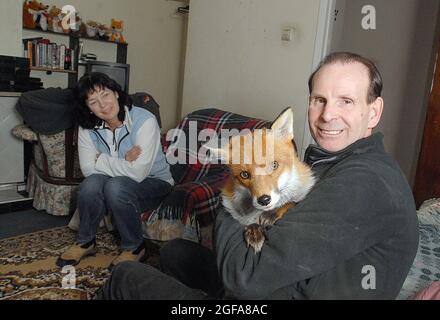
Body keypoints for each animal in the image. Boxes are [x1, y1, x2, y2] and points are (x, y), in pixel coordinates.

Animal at [207, 109, 314, 254]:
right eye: (244, 174)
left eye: (274, 165)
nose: (264, 200)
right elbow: (248, 222)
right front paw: (254, 230)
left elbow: (291, 202)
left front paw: (273, 213)